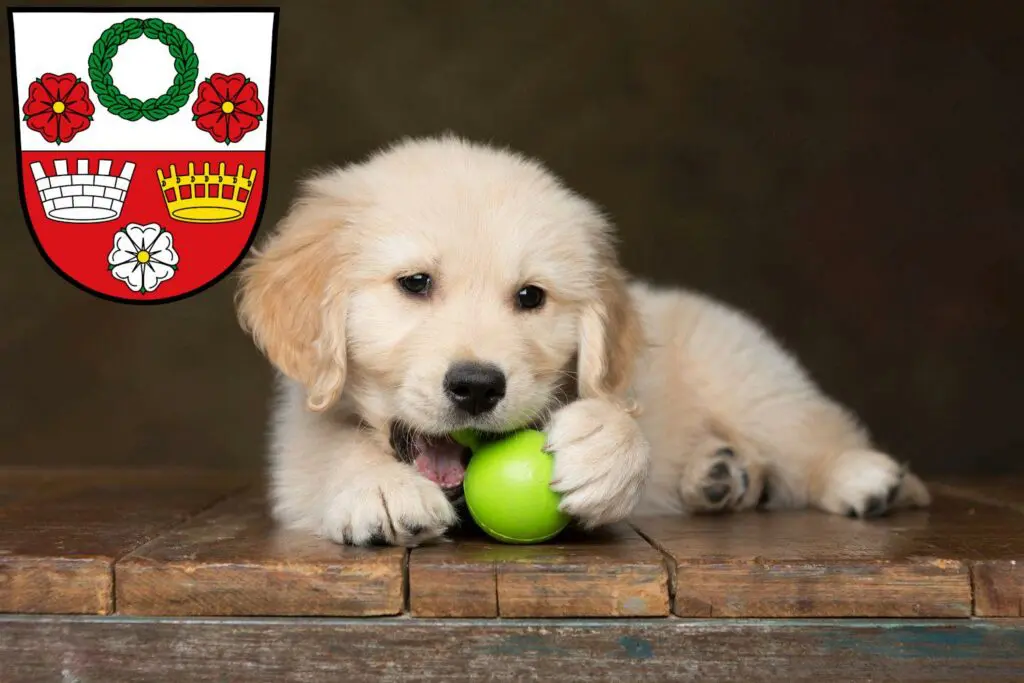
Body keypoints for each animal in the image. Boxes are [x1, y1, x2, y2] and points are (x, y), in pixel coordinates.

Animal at [237, 136, 929, 548]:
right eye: (415, 283)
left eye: (530, 297)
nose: (477, 386)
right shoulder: (293, 446)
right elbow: (329, 449)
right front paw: (379, 486)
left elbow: (619, 418)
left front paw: (605, 448)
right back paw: (720, 476)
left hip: (746, 373)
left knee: (809, 430)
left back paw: (862, 476)